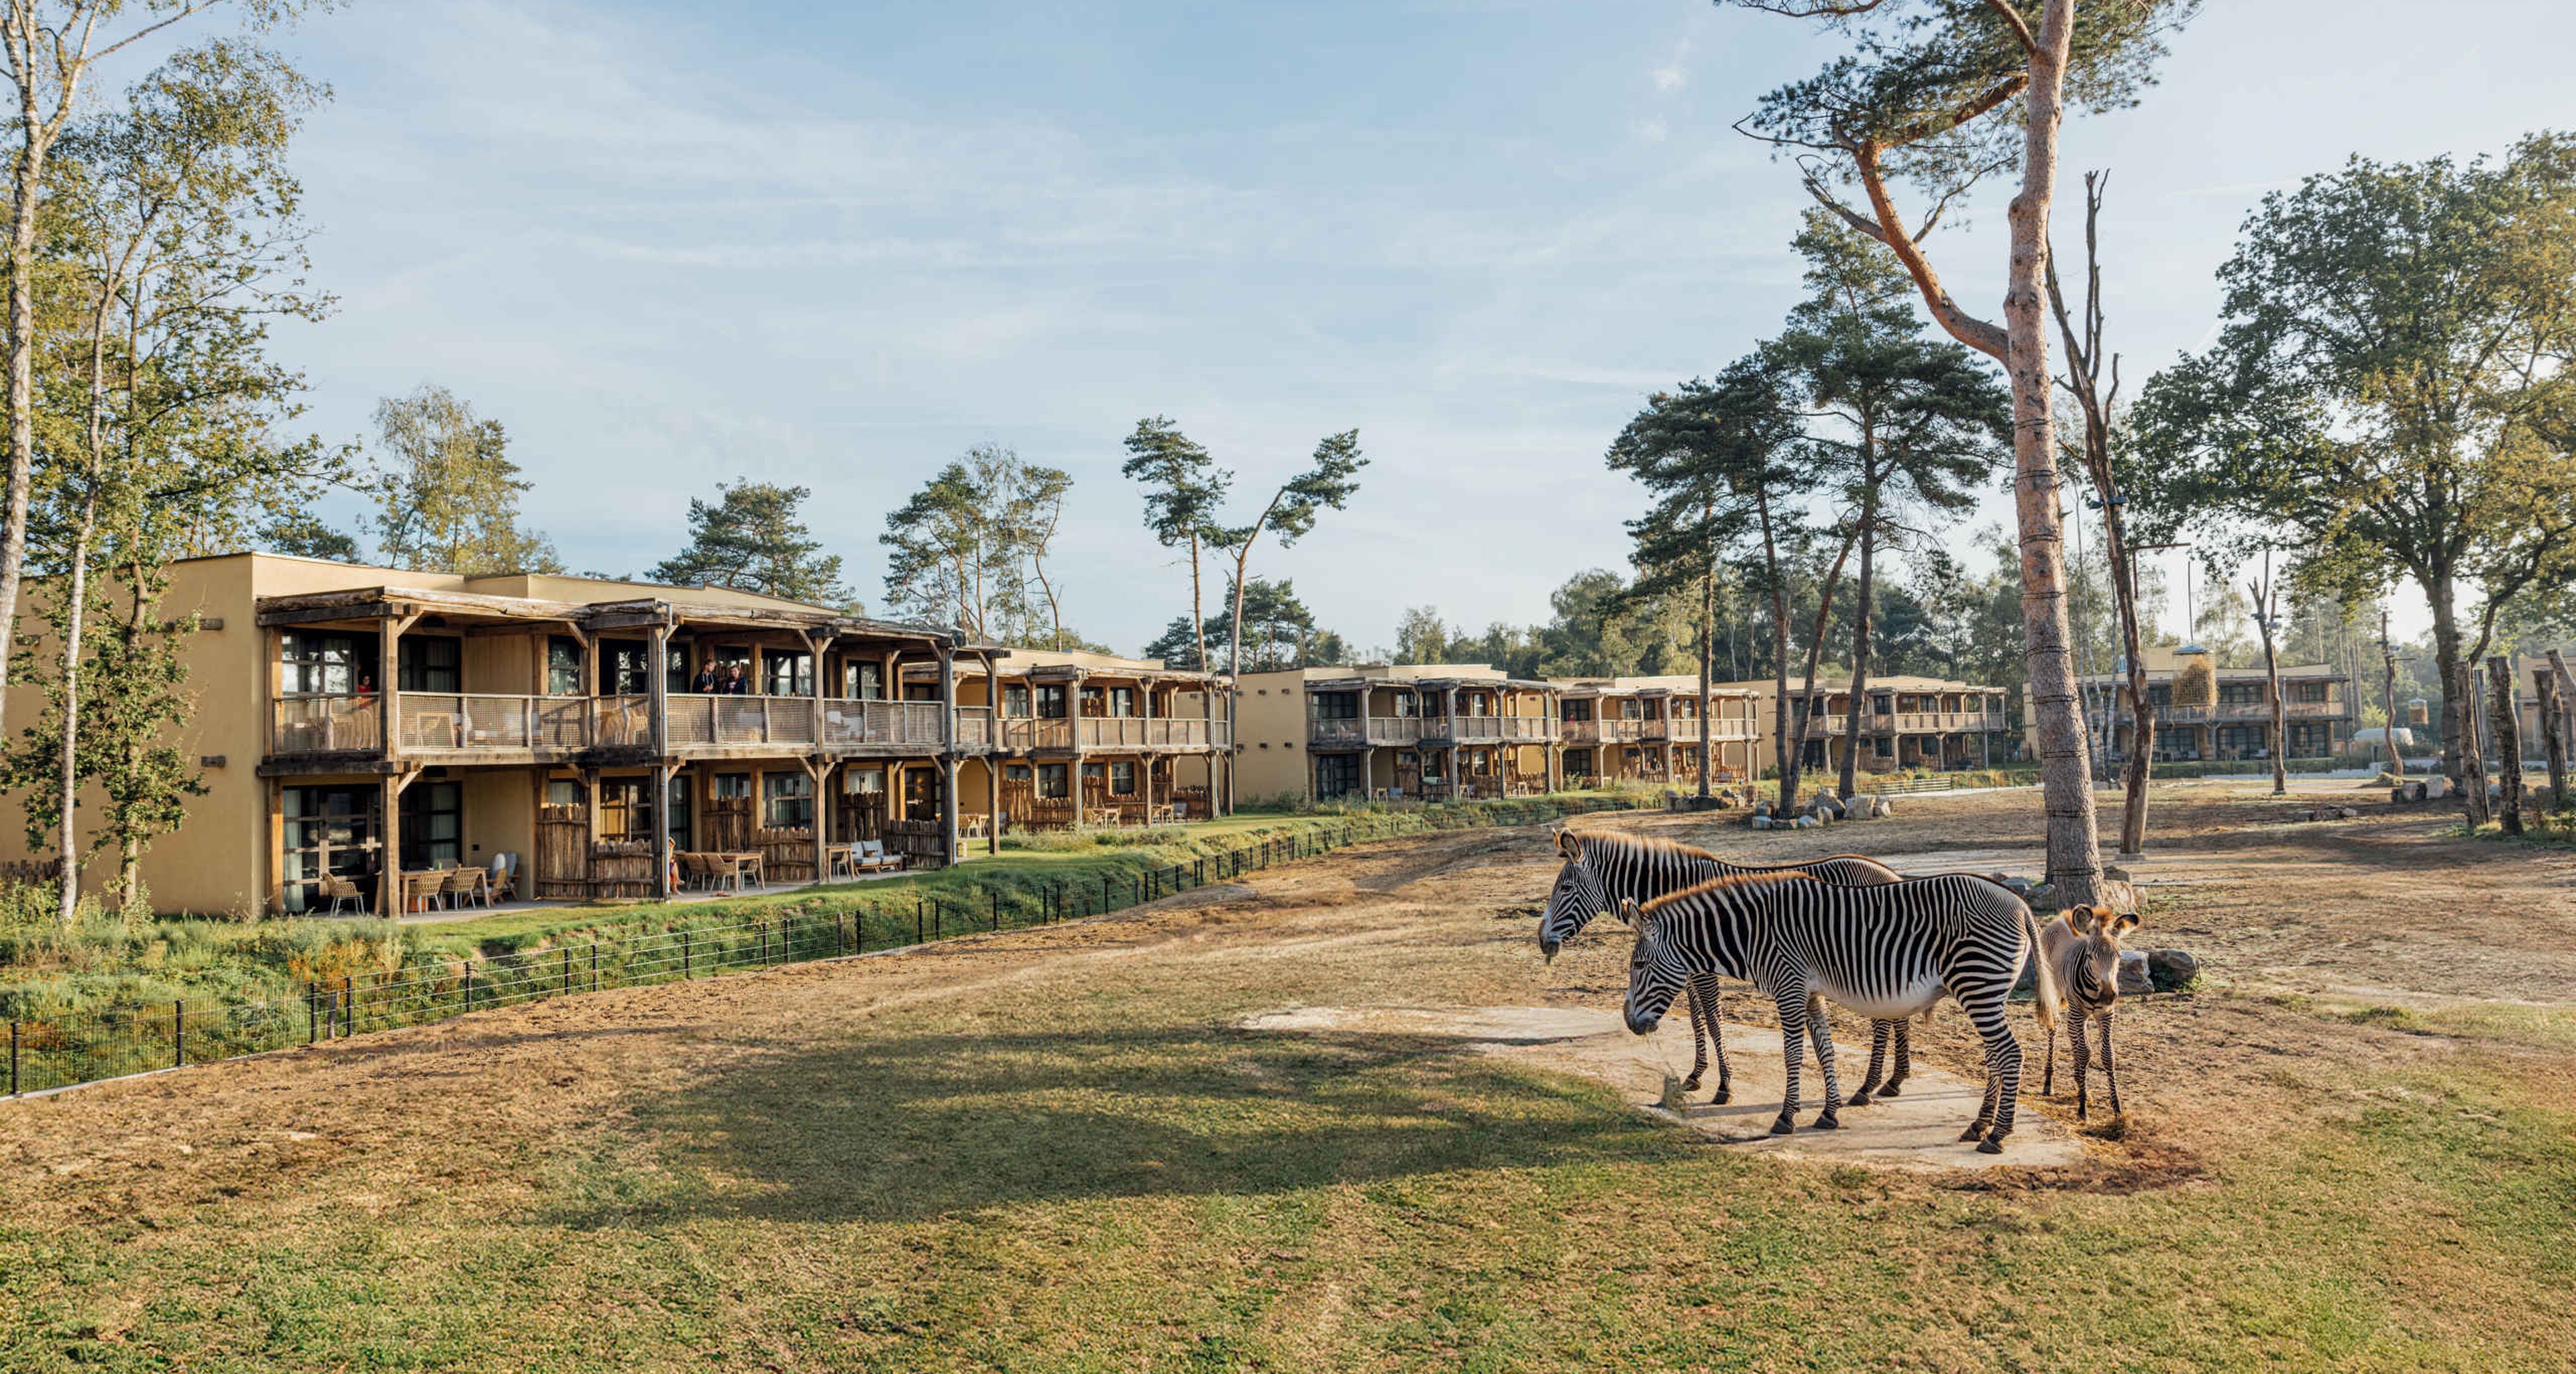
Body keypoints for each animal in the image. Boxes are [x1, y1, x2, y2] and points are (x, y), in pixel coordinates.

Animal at [1537, 829, 1916, 1106]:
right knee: (1898, 1015)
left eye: (1565, 888)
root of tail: (1890, 873)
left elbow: (1713, 1019)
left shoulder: (1702, 970)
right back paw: (1894, 1080)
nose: (1542, 940)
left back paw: (1867, 1087)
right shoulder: (1686, 969)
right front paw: (1696, 1074)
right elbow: (1696, 1020)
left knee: (1884, 1021)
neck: (1676, 892)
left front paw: (1724, 1085)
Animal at [1620, 869, 2059, 1153]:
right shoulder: (1810, 992)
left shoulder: (1789, 987)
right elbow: (1824, 1050)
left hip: (1977, 984)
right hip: (1985, 991)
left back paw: (1998, 1135)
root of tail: (2020, 904)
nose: (1628, 1021)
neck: (1754, 933)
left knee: (2009, 1054)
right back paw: (1978, 1125)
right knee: (1995, 1057)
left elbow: (1793, 1054)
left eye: (1638, 965)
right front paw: (1829, 1113)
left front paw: (1786, 1117)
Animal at [2038, 903, 2140, 1121]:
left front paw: (2117, 1108)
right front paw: (2082, 1107)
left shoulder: (2106, 1014)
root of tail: (2062, 917)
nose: (2108, 995)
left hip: (2076, 1011)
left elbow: (2107, 1055)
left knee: (2072, 1037)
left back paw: (2078, 1081)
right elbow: (2085, 1052)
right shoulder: (2079, 1011)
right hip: (2057, 994)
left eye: (2119, 956)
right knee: (2054, 1027)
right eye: (2090, 956)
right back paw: (2049, 1081)